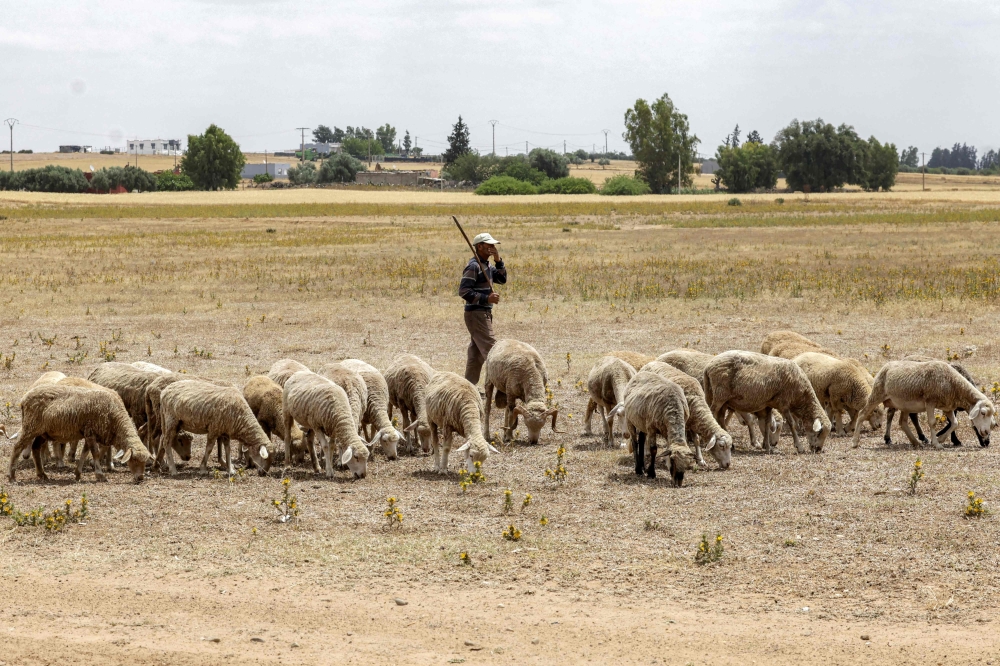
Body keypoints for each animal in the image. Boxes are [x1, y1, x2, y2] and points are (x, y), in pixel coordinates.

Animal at [8, 382, 150, 483]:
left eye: (145, 462)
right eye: (134, 460)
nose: (140, 478)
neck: (115, 418)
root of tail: (24, 399)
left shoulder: (89, 433)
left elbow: (84, 453)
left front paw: (78, 474)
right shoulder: (91, 432)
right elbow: (95, 453)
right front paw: (100, 475)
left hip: (43, 432)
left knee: (35, 448)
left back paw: (42, 474)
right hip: (30, 427)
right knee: (17, 447)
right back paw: (12, 476)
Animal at [703, 351, 831, 454]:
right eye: (819, 432)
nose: (818, 449)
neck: (801, 396)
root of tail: (709, 366)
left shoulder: (769, 404)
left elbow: (768, 423)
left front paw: (767, 446)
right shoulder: (783, 403)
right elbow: (791, 424)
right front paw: (799, 446)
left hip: (723, 399)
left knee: (720, 417)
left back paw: (731, 444)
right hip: (720, 395)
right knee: (712, 414)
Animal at [852, 360, 994, 450]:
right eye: (983, 413)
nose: (986, 432)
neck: (954, 384)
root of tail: (886, 365)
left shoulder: (948, 407)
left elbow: (955, 423)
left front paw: (940, 439)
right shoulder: (930, 402)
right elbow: (932, 422)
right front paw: (936, 443)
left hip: (905, 404)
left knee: (903, 422)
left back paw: (916, 443)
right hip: (877, 393)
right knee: (863, 414)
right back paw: (855, 442)